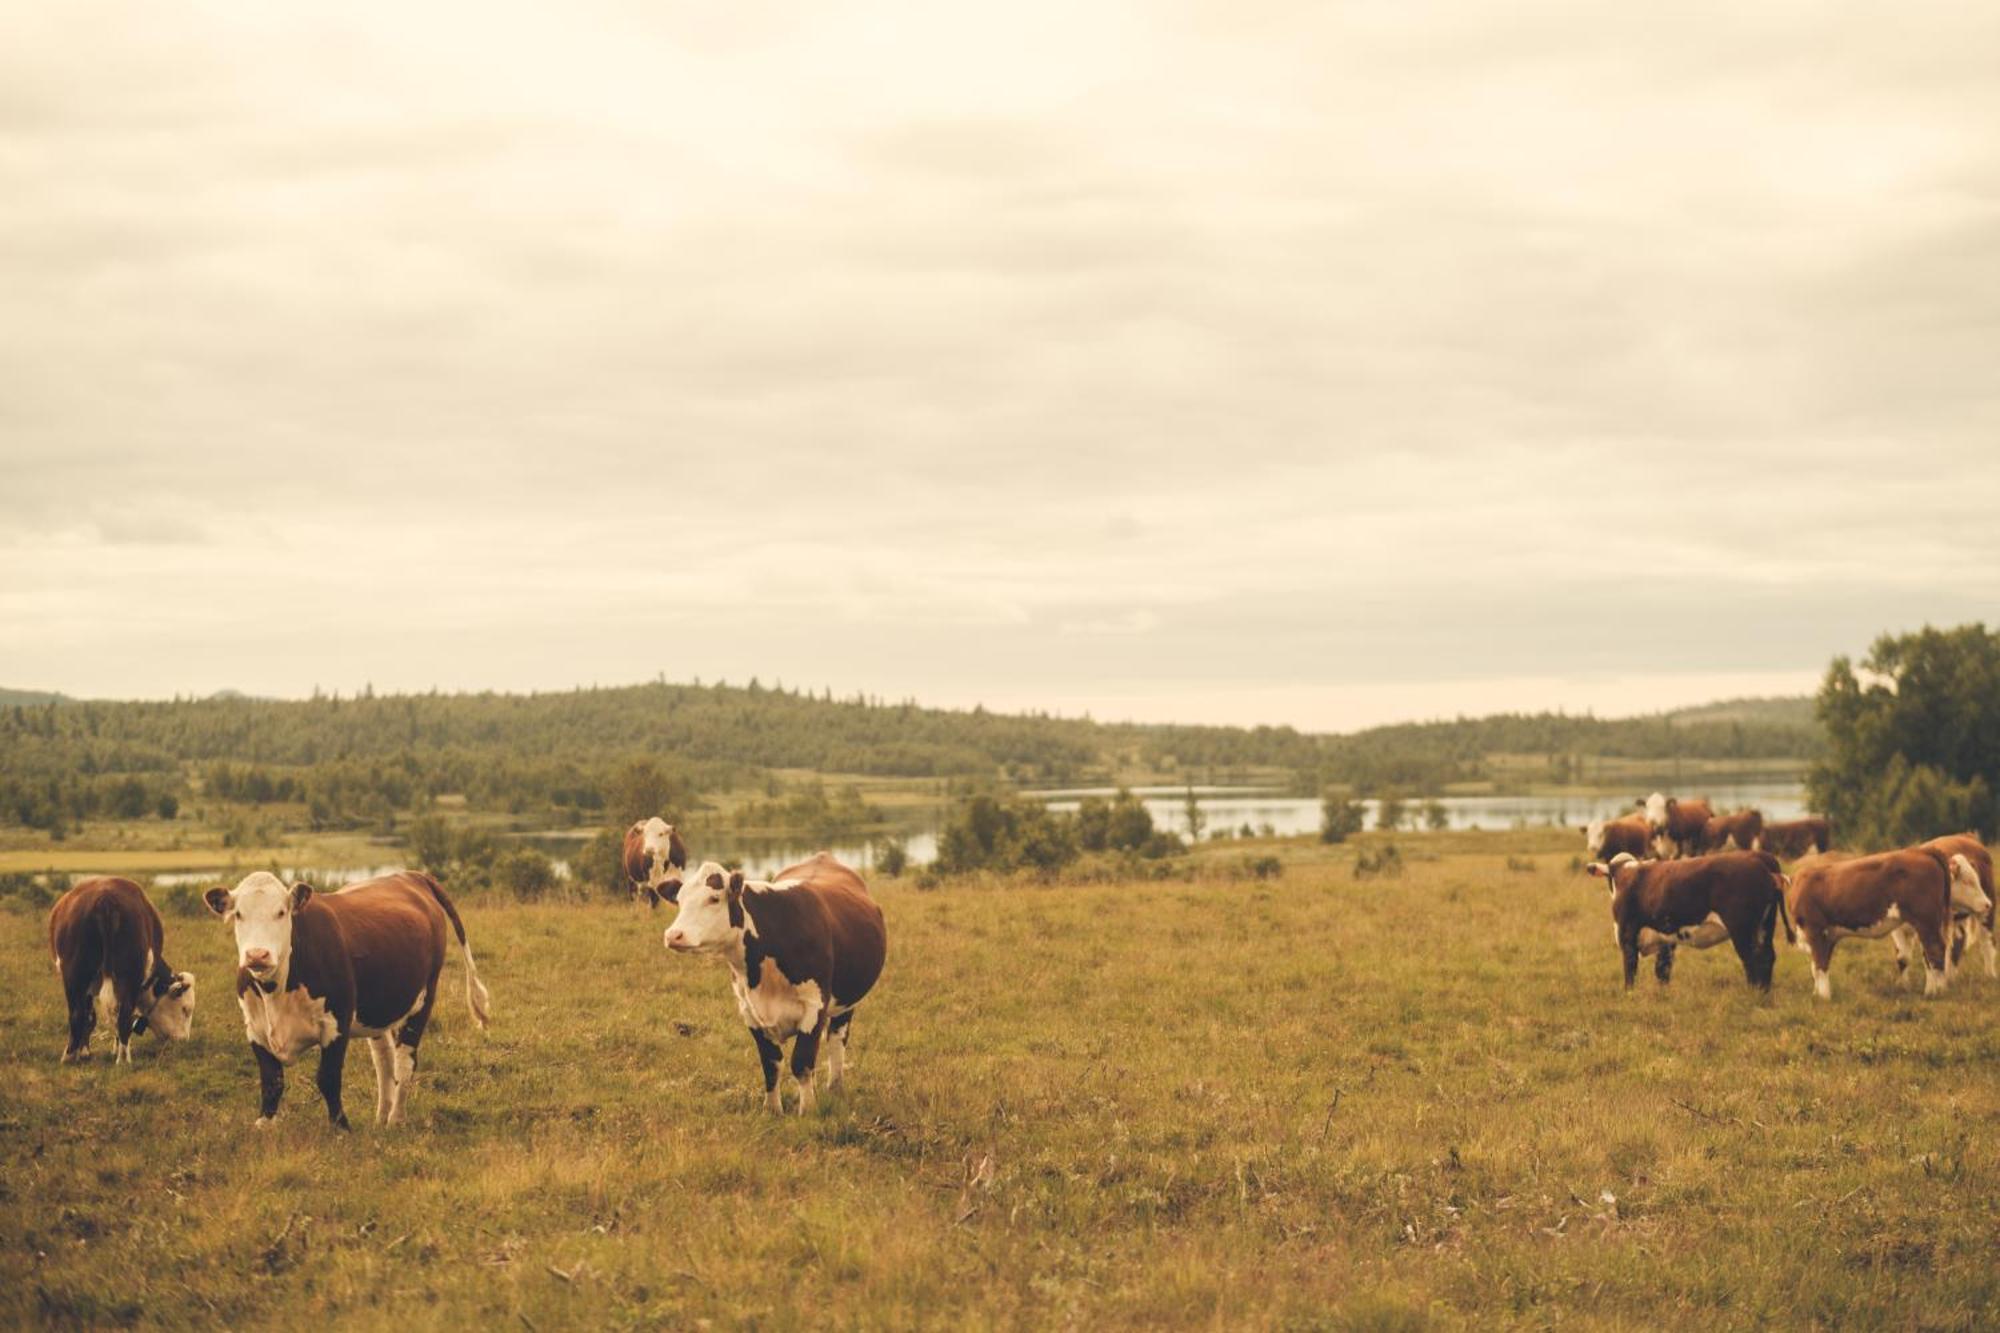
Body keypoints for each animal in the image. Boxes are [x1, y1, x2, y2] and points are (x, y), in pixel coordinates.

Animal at [48, 876, 195, 1064]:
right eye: (185, 1009)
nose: (184, 1040)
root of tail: (106, 897)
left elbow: (92, 1016)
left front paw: (86, 1051)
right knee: (119, 1016)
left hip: (76, 974)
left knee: (81, 1014)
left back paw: (74, 1056)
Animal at [201, 868, 490, 1128]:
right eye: (238, 915)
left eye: (281, 912)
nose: (257, 955)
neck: (277, 991)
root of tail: (411, 875)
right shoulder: (255, 1028)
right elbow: (272, 1080)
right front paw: (265, 1125)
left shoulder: (337, 1022)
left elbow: (328, 1078)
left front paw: (340, 1127)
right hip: (377, 1010)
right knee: (384, 1061)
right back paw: (381, 1116)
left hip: (424, 998)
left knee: (404, 1061)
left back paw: (396, 1120)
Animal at [664, 852, 884, 1112]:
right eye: (679, 901)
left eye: (714, 898)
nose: (673, 935)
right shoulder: (749, 1010)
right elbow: (770, 1063)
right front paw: (771, 1110)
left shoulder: (815, 1005)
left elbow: (801, 1062)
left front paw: (808, 1110)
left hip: (846, 1004)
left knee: (836, 1041)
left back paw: (835, 1089)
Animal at [1584, 852, 1792, 984]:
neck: (1626, 874)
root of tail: (1760, 857)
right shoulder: (1666, 940)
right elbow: (1662, 971)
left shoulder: (1627, 937)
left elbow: (1630, 974)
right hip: (1766, 925)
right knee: (1767, 957)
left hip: (1742, 930)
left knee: (1752, 961)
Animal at [1784, 840, 1984, 996]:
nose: (1987, 904)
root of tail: (1920, 851)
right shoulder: (1828, 934)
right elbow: (1818, 964)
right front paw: (1818, 993)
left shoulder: (1814, 929)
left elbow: (1819, 964)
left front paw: (1823, 996)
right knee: (1931, 952)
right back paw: (1932, 990)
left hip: (1926, 921)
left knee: (1936, 950)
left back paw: (1937, 991)